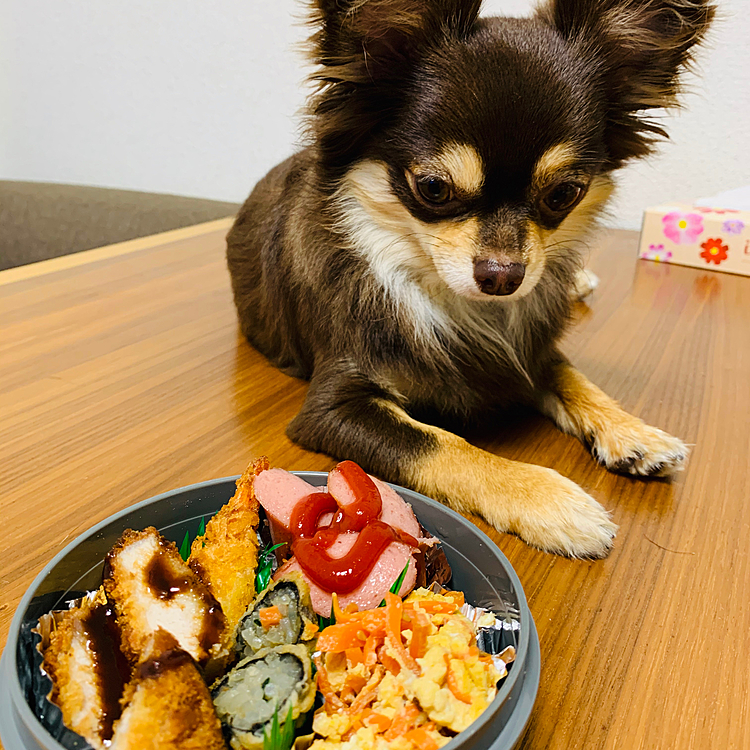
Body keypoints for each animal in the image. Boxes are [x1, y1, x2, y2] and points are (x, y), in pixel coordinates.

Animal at [229, 0, 716, 560]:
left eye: (564, 194)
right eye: (433, 189)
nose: (504, 276)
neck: (458, 305)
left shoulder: (529, 352)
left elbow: (573, 377)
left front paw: (634, 431)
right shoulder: (333, 407)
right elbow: (442, 444)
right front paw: (548, 499)